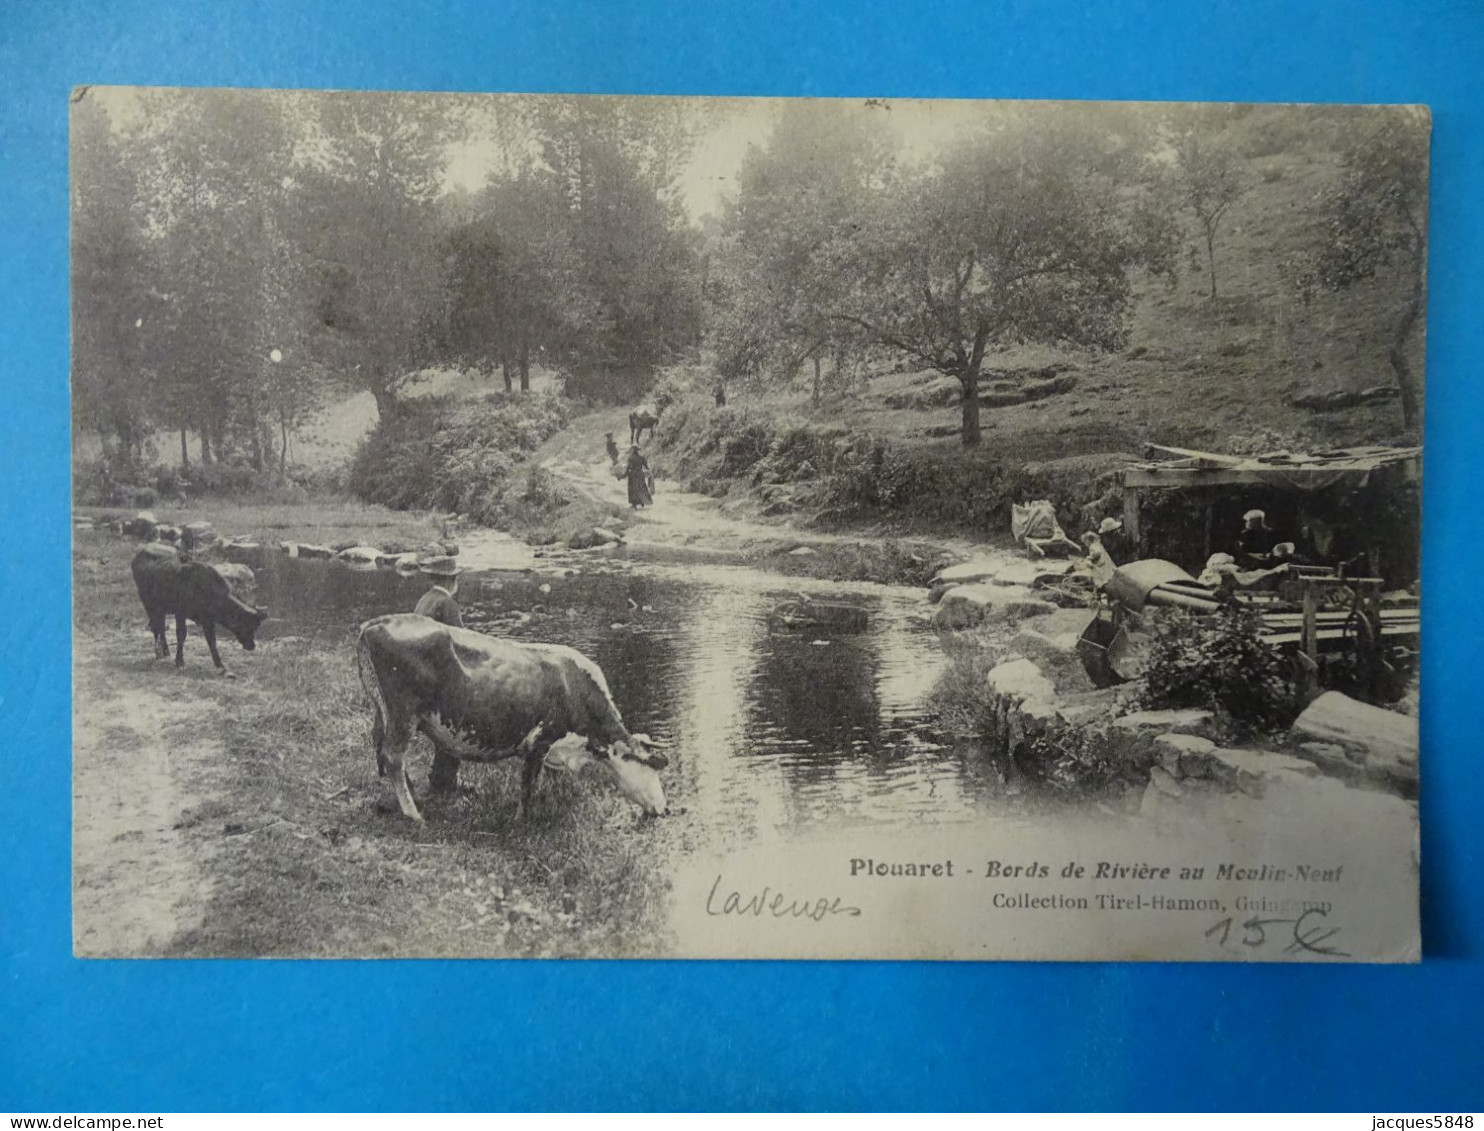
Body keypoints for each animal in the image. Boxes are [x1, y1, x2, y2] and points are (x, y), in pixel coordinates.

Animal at [131, 543, 270, 673]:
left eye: (255, 626)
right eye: (247, 625)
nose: (251, 646)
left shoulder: (207, 619)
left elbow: (211, 640)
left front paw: (220, 664)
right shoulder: (180, 613)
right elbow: (181, 635)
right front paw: (180, 662)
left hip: (162, 608)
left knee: (160, 627)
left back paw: (166, 651)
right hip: (149, 603)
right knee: (155, 627)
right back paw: (159, 653)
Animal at [353, 617, 667, 819]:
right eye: (649, 767)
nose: (665, 809)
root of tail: (376, 623)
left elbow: (549, 781)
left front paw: (551, 804)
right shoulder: (539, 741)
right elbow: (528, 784)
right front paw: (523, 820)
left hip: (382, 711)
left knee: (381, 747)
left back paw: (412, 798)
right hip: (403, 714)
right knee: (394, 757)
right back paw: (413, 813)